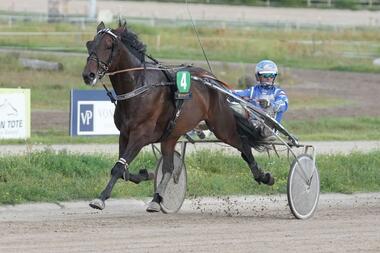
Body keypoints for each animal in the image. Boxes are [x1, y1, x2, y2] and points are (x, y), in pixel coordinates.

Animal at [82, 21, 274, 211]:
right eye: (89, 44)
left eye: (108, 45)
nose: (88, 75)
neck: (139, 87)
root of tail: (212, 79)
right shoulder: (124, 134)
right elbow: (123, 170)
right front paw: (146, 174)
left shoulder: (140, 135)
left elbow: (118, 168)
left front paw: (100, 199)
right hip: (171, 135)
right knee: (169, 168)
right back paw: (156, 200)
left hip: (221, 126)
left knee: (244, 145)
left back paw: (263, 176)